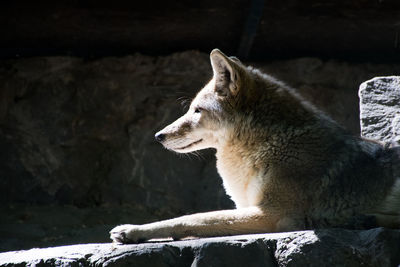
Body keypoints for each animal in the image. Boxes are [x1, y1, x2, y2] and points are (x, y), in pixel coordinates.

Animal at [109, 49, 400, 244]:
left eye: (197, 111)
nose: (158, 136)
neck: (271, 144)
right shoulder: (250, 208)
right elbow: (196, 217)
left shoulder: (272, 214)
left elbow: (193, 217)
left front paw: (131, 230)